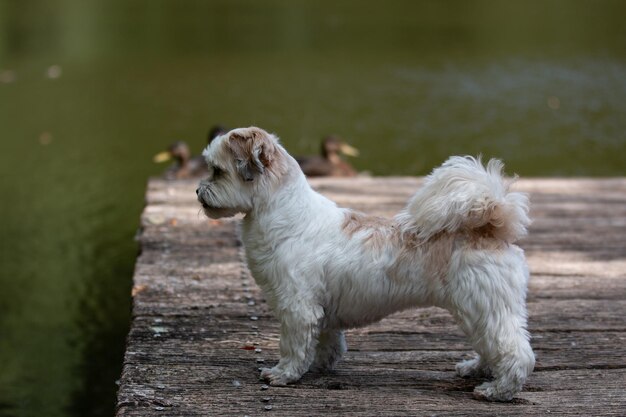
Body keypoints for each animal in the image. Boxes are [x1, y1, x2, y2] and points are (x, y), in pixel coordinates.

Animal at [195, 126, 532, 400]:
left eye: (217, 171)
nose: (198, 191)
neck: (285, 214)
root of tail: (489, 225)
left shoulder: (297, 307)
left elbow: (293, 345)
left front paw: (284, 373)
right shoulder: (321, 309)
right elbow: (326, 342)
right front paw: (318, 364)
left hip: (486, 306)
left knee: (514, 351)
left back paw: (499, 390)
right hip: (476, 310)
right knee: (489, 345)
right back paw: (476, 369)